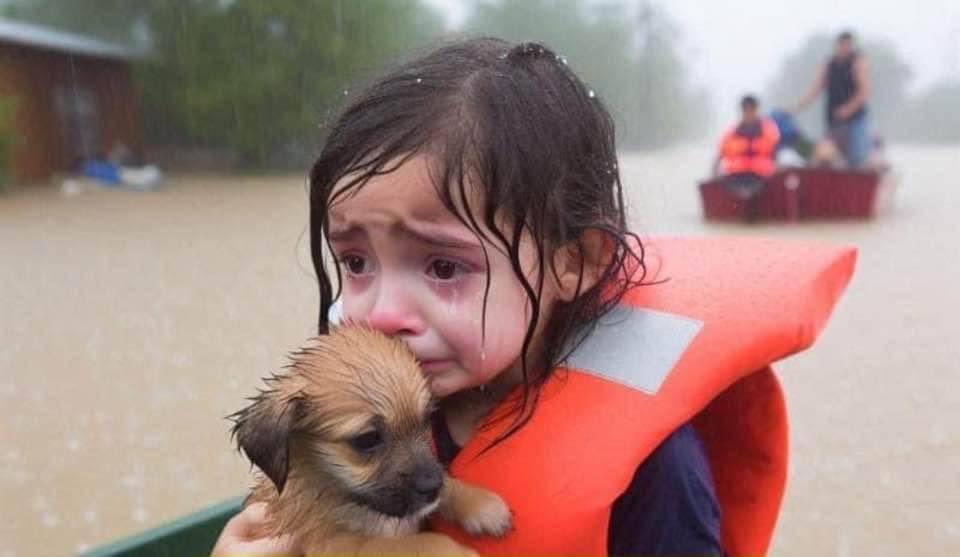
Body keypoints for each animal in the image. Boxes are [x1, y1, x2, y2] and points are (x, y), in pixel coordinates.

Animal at [231, 324, 510, 552]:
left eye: (426, 420)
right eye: (367, 440)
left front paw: (481, 505)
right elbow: (414, 544)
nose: (432, 487)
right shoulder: (339, 545)